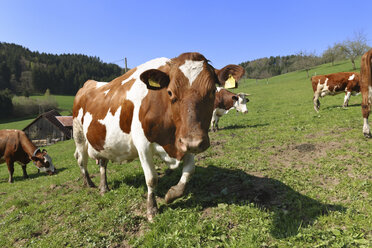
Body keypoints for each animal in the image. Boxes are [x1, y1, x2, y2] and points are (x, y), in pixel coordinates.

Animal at [73, 52, 247, 221]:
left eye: (212, 91)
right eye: (169, 92)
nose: (195, 142)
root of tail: (89, 83)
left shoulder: (185, 141)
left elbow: (189, 171)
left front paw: (171, 194)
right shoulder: (143, 145)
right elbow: (151, 178)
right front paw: (152, 209)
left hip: (101, 141)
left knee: (103, 162)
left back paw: (104, 187)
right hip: (78, 134)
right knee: (81, 160)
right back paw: (89, 183)